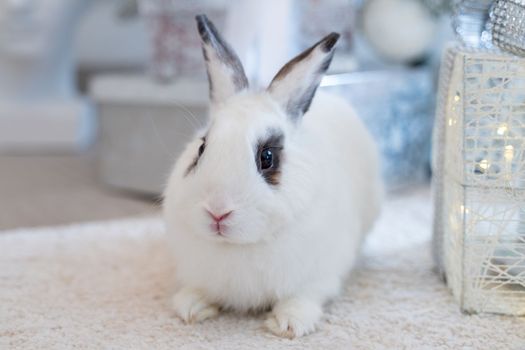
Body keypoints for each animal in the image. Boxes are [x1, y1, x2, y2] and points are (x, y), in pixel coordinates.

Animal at [163, 14, 380, 340]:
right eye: (201, 149)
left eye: (267, 157)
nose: (217, 212)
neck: (239, 247)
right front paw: (190, 307)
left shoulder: (319, 276)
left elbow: (303, 298)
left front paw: (288, 325)